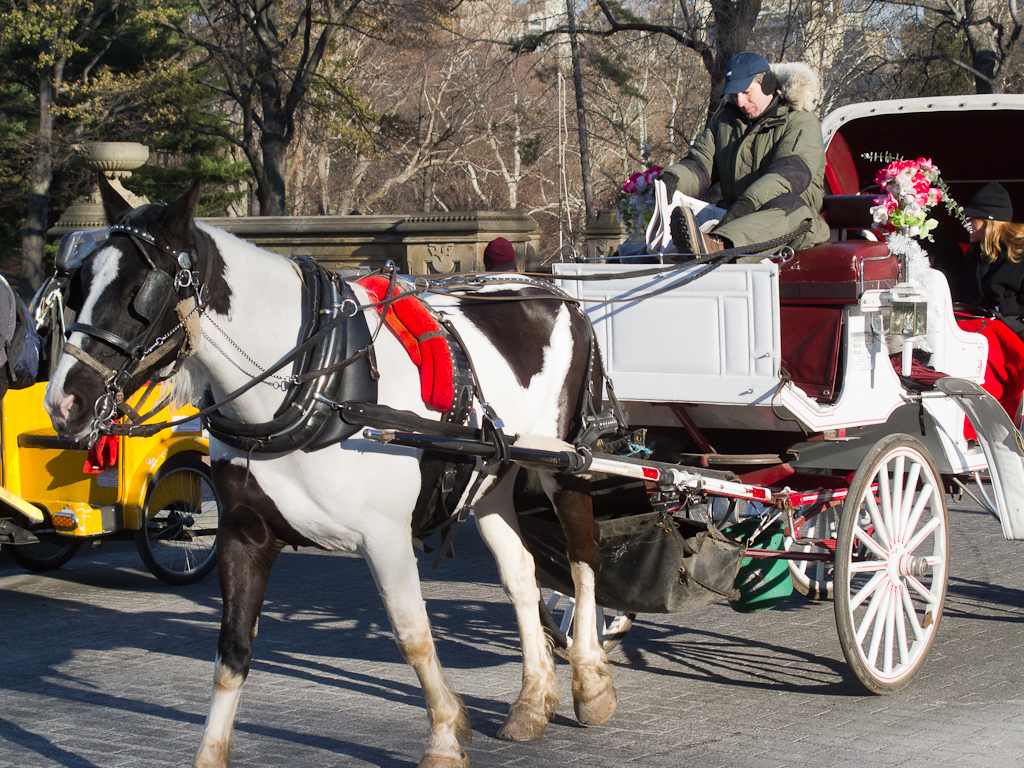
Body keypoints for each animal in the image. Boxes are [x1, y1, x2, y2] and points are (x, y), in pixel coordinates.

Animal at [44, 182, 614, 768]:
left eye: (141, 291)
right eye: (78, 283)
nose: (64, 402)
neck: (314, 383)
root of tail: (549, 290)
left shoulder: (386, 537)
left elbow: (413, 636)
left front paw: (445, 736)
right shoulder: (243, 536)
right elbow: (232, 652)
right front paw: (211, 752)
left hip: (566, 465)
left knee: (583, 560)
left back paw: (590, 682)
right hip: (492, 476)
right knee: (520, 575)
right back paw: (533, 700)